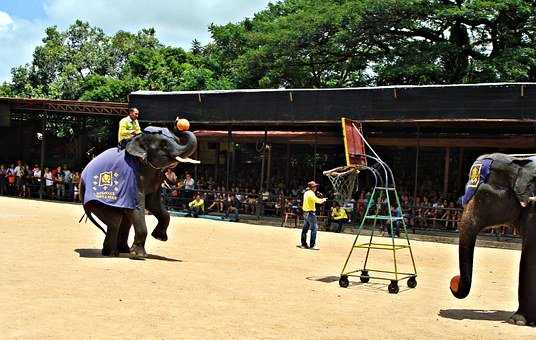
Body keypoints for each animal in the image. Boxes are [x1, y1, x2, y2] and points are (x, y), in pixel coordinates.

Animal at [79, 126, 197, 258]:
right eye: (163, 145)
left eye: (176, 140)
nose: (181, 127)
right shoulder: (134, 176)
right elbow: (137, 205)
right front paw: (139, 256)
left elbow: (153, 204)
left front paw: (159, 237)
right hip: (97, 201)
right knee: (115, 221)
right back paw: (112, 253)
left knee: (124, 221)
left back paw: (123, 250)